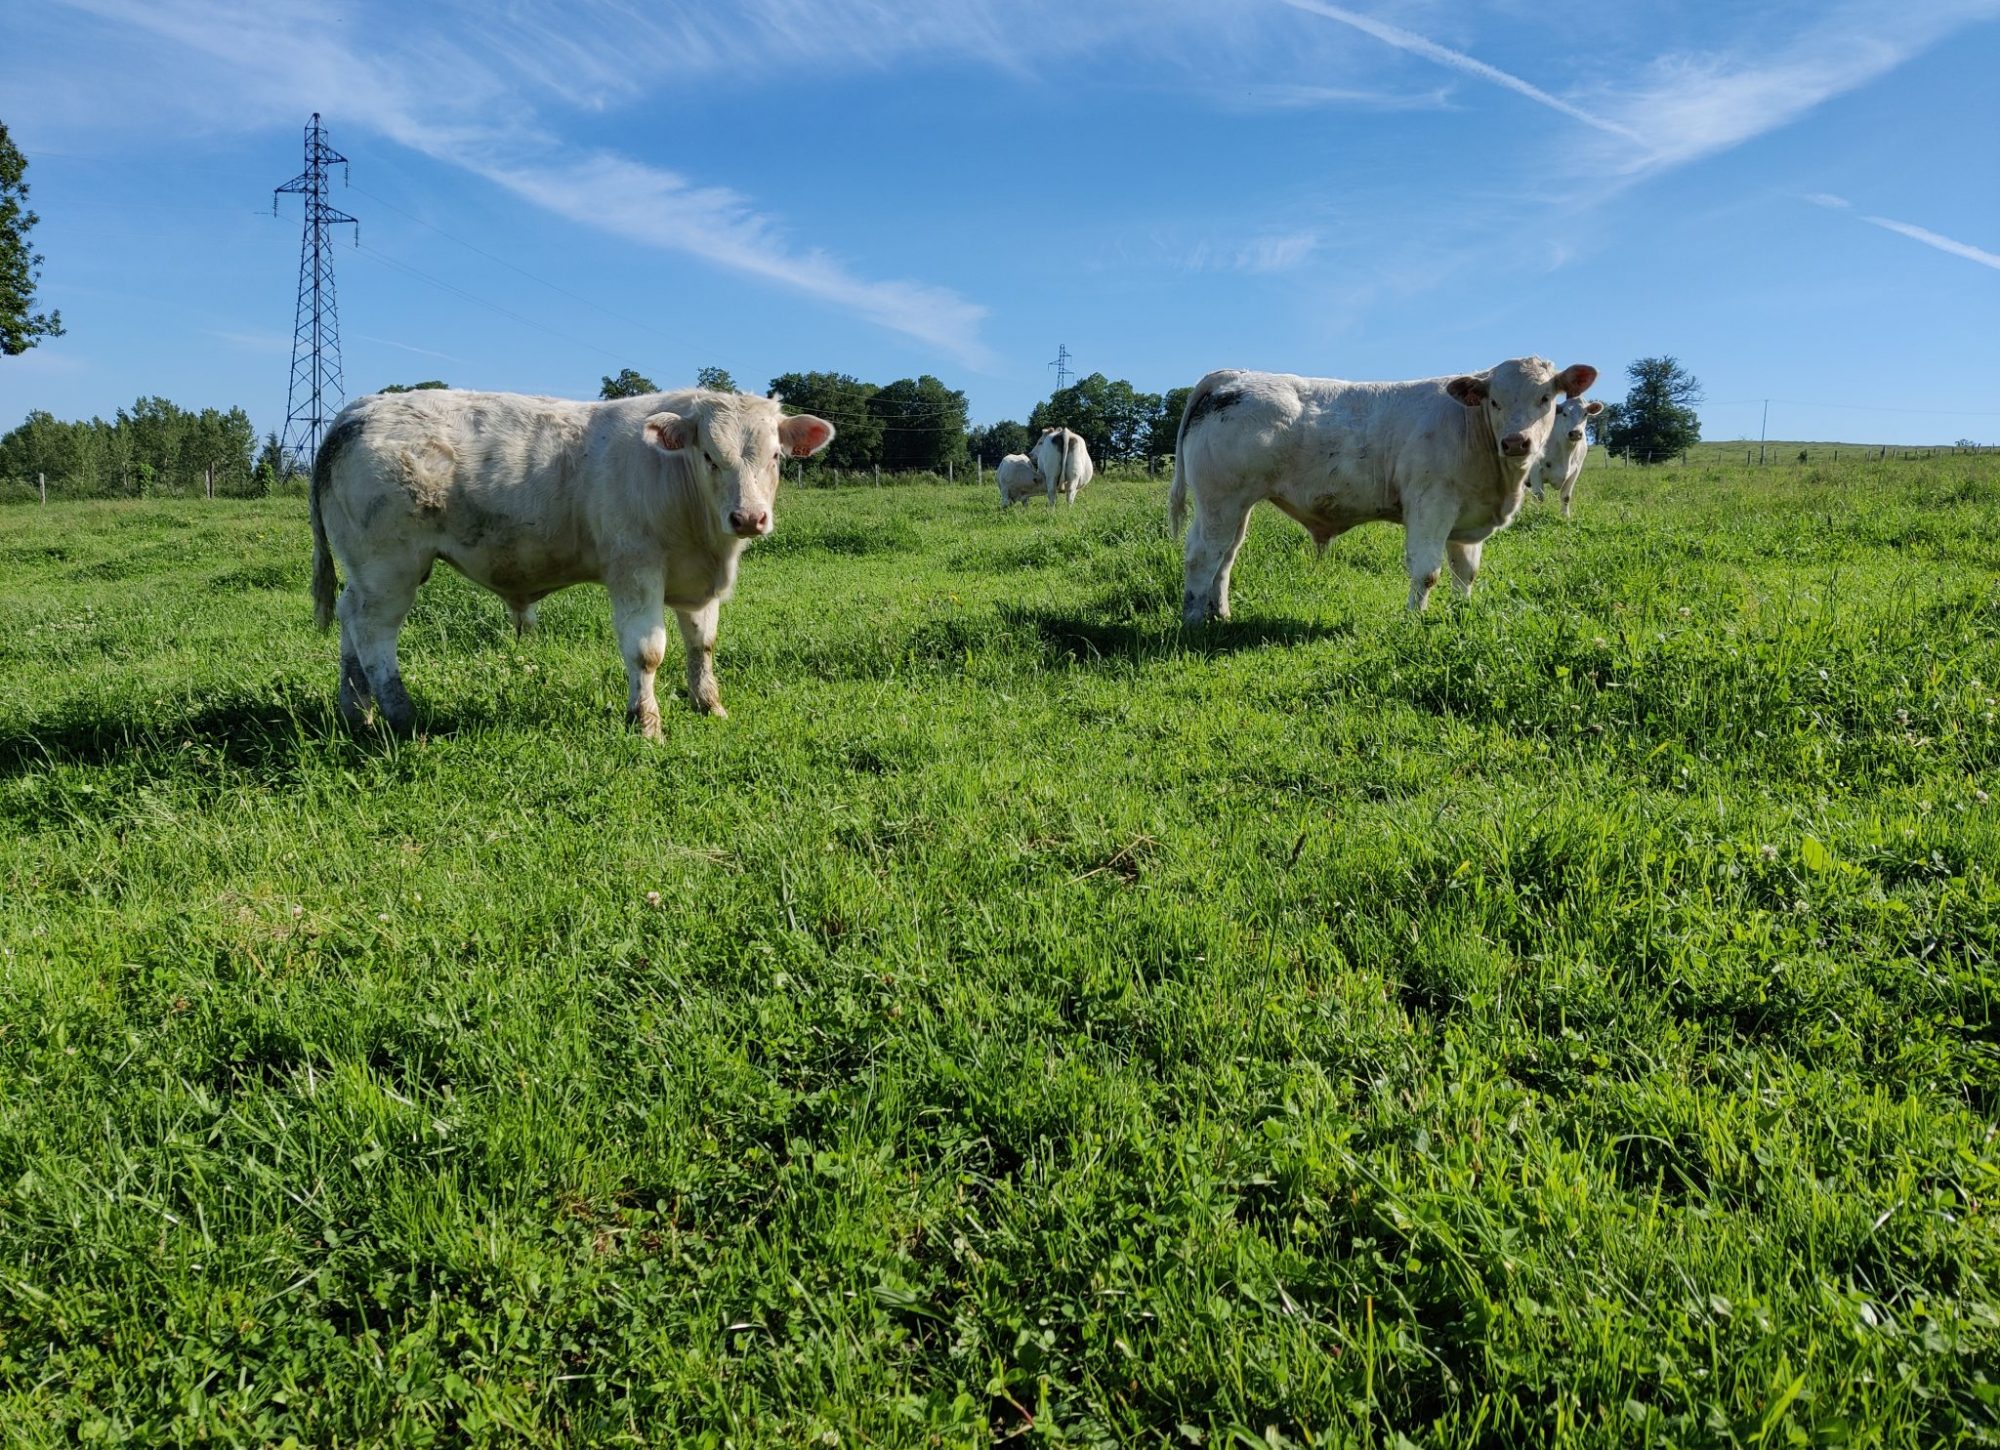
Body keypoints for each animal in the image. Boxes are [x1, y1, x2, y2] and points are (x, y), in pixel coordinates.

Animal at [302, 384, 828, 736]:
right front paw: (647, 724)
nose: (749, 517)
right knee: (374, 634)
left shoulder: (695, 580)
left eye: (776, 456)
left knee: (350, 621)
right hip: (390, 568)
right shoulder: (635, 570)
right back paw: (402, 717)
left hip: (366, 573)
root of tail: (361, 408)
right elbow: (648, 650)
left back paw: (357, 711)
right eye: (709, 456)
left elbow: (703, 645)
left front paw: (709, 706)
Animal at [1168, 356, 1600, 624]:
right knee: (1202, 555)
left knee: (1226, 556)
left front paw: (1460, 614)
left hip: (1237, 506)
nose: (1515, 442)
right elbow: (1427, 571)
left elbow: (1466, 572)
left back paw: (1221, 613)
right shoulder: (1431, 504)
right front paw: (1414, 620)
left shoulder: (1466, 517)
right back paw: (1193, 620)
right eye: (1495, 401)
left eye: (1545, 399)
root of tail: (1235, 375)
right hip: (1220, 501)